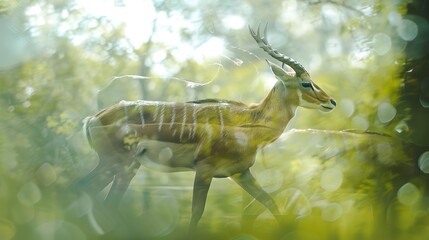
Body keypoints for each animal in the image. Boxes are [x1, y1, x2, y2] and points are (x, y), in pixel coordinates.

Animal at [79, 25, 334, 231]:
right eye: (305, 82)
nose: (331, 101)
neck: (249, 121)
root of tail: (94, 118)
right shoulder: (204, 169)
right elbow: (196, 214)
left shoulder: (240, 173)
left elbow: (270, 203)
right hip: (119, 165)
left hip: (121, 167)